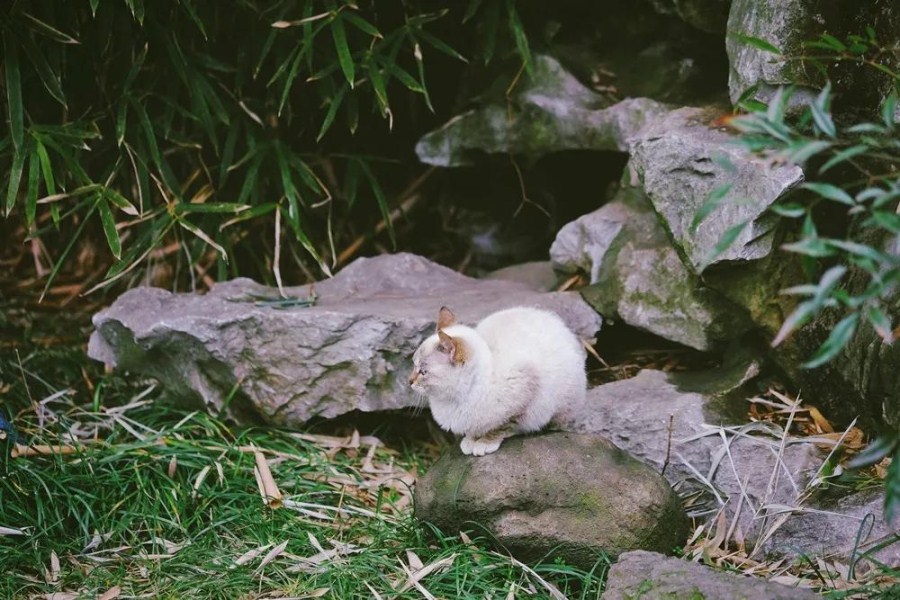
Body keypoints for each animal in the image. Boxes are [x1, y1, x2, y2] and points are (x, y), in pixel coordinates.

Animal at [412, 310, 588, 454]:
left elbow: (501, 426)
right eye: (414, 365)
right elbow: (472, 429)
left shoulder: (524, 390)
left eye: (423, 372)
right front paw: (470, 441)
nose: (409, 381)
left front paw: (484, 443)